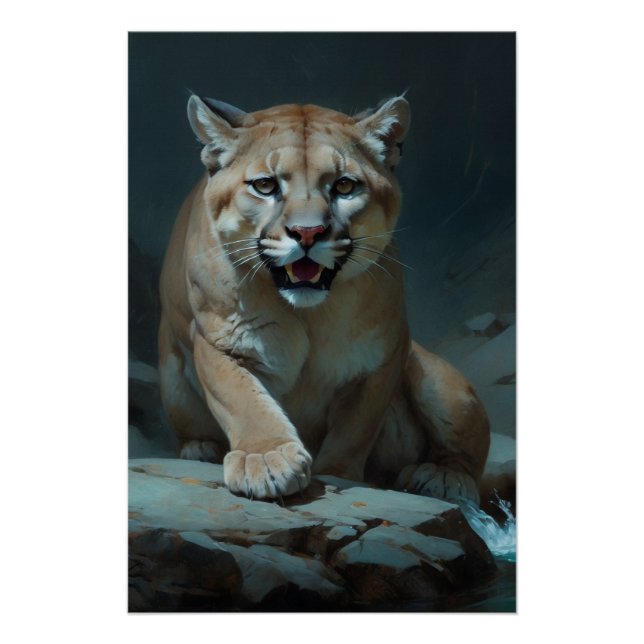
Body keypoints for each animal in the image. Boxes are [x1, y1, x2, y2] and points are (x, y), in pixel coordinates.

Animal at [157, 95, 490, 503]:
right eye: (265, 185)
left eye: (344, 186)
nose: (307, 232)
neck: (308, 314)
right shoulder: (220, 342)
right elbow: (244, 400)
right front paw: (267, 460)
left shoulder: (382, 356)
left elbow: (355, 429)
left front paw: (337, 473)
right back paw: (201, 448)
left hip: (441, 384)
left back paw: (441, 477)